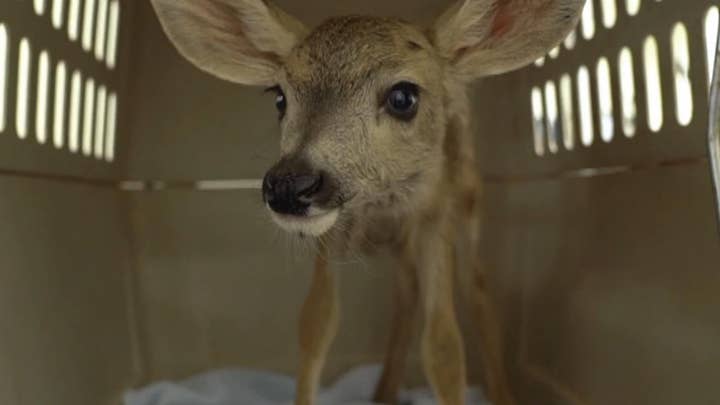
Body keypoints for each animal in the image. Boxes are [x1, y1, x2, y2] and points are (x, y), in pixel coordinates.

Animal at [149, 1, 584, 402]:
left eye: (403, 97)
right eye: (279, 98)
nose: (289, 185)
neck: (380, 207)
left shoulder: (434, 219)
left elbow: (444, 348)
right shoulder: (329, 240)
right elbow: (316, 326)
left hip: (468, 201)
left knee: (477, 290)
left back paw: (502, 392)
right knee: (406, 293)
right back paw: (383, 391)